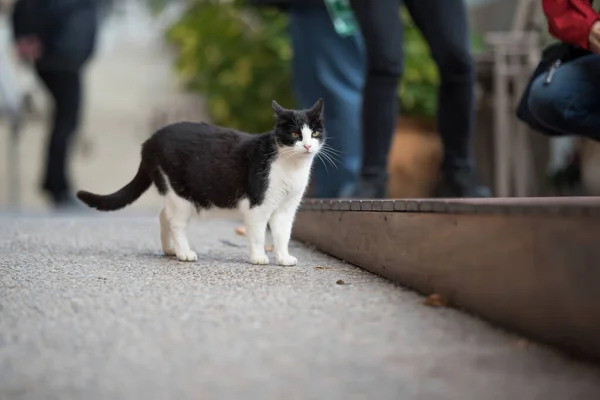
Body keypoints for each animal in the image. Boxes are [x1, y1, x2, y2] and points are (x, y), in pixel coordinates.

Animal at [77, 98, 326, 266]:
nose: (307, 145)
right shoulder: (259, 205)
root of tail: (149, 141)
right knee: (176, 222)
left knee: (164, 215)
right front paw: (258, 257)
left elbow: (283, 234)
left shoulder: (286, 208)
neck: (292, 168)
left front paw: (283, 258)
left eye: (314, 134)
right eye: (294, 134)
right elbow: (256, 234)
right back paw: (184, 253)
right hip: (179, 193)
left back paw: (169, 249)